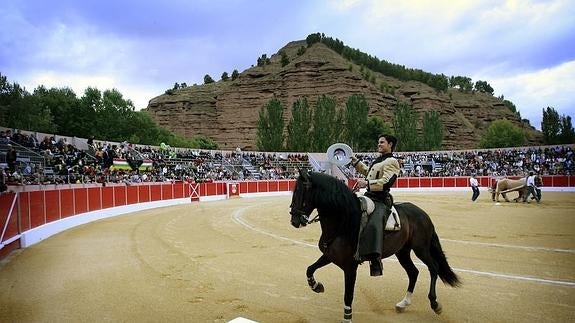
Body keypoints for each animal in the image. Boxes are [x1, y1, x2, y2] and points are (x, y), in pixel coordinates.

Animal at [290, 171, 462, 322]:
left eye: (300, 191)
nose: (294, 220)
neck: (343, 222)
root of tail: (423, 214)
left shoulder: (350, 267)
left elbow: (348, 296)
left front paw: (347, 318)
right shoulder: (330, 256)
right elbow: (310, 269)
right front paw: (316, 286)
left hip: (421, 249)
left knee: (433, 268)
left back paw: (435, 304)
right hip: (402, 252)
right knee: (413, 272)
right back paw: (403, 304)